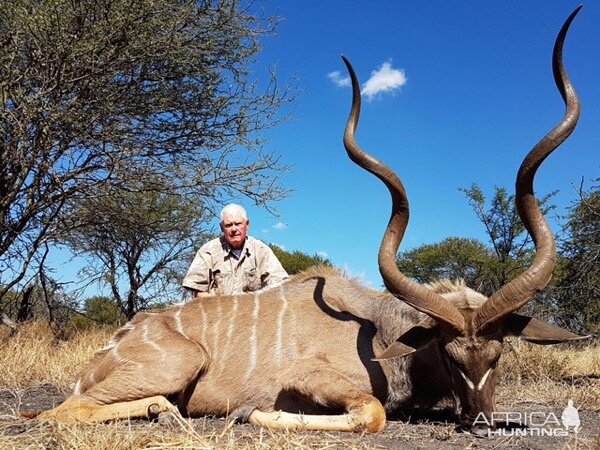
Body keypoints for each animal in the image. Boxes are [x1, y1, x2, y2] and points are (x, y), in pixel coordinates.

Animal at [36, 7, 584, 436]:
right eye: (450, 355)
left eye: (498, 355)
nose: (479, 421)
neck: (382, 330)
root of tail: (115, 343)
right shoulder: (315, 381)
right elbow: (371, 413)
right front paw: (251, 414)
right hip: (178, 363)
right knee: (58, 411)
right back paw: (163, 412)